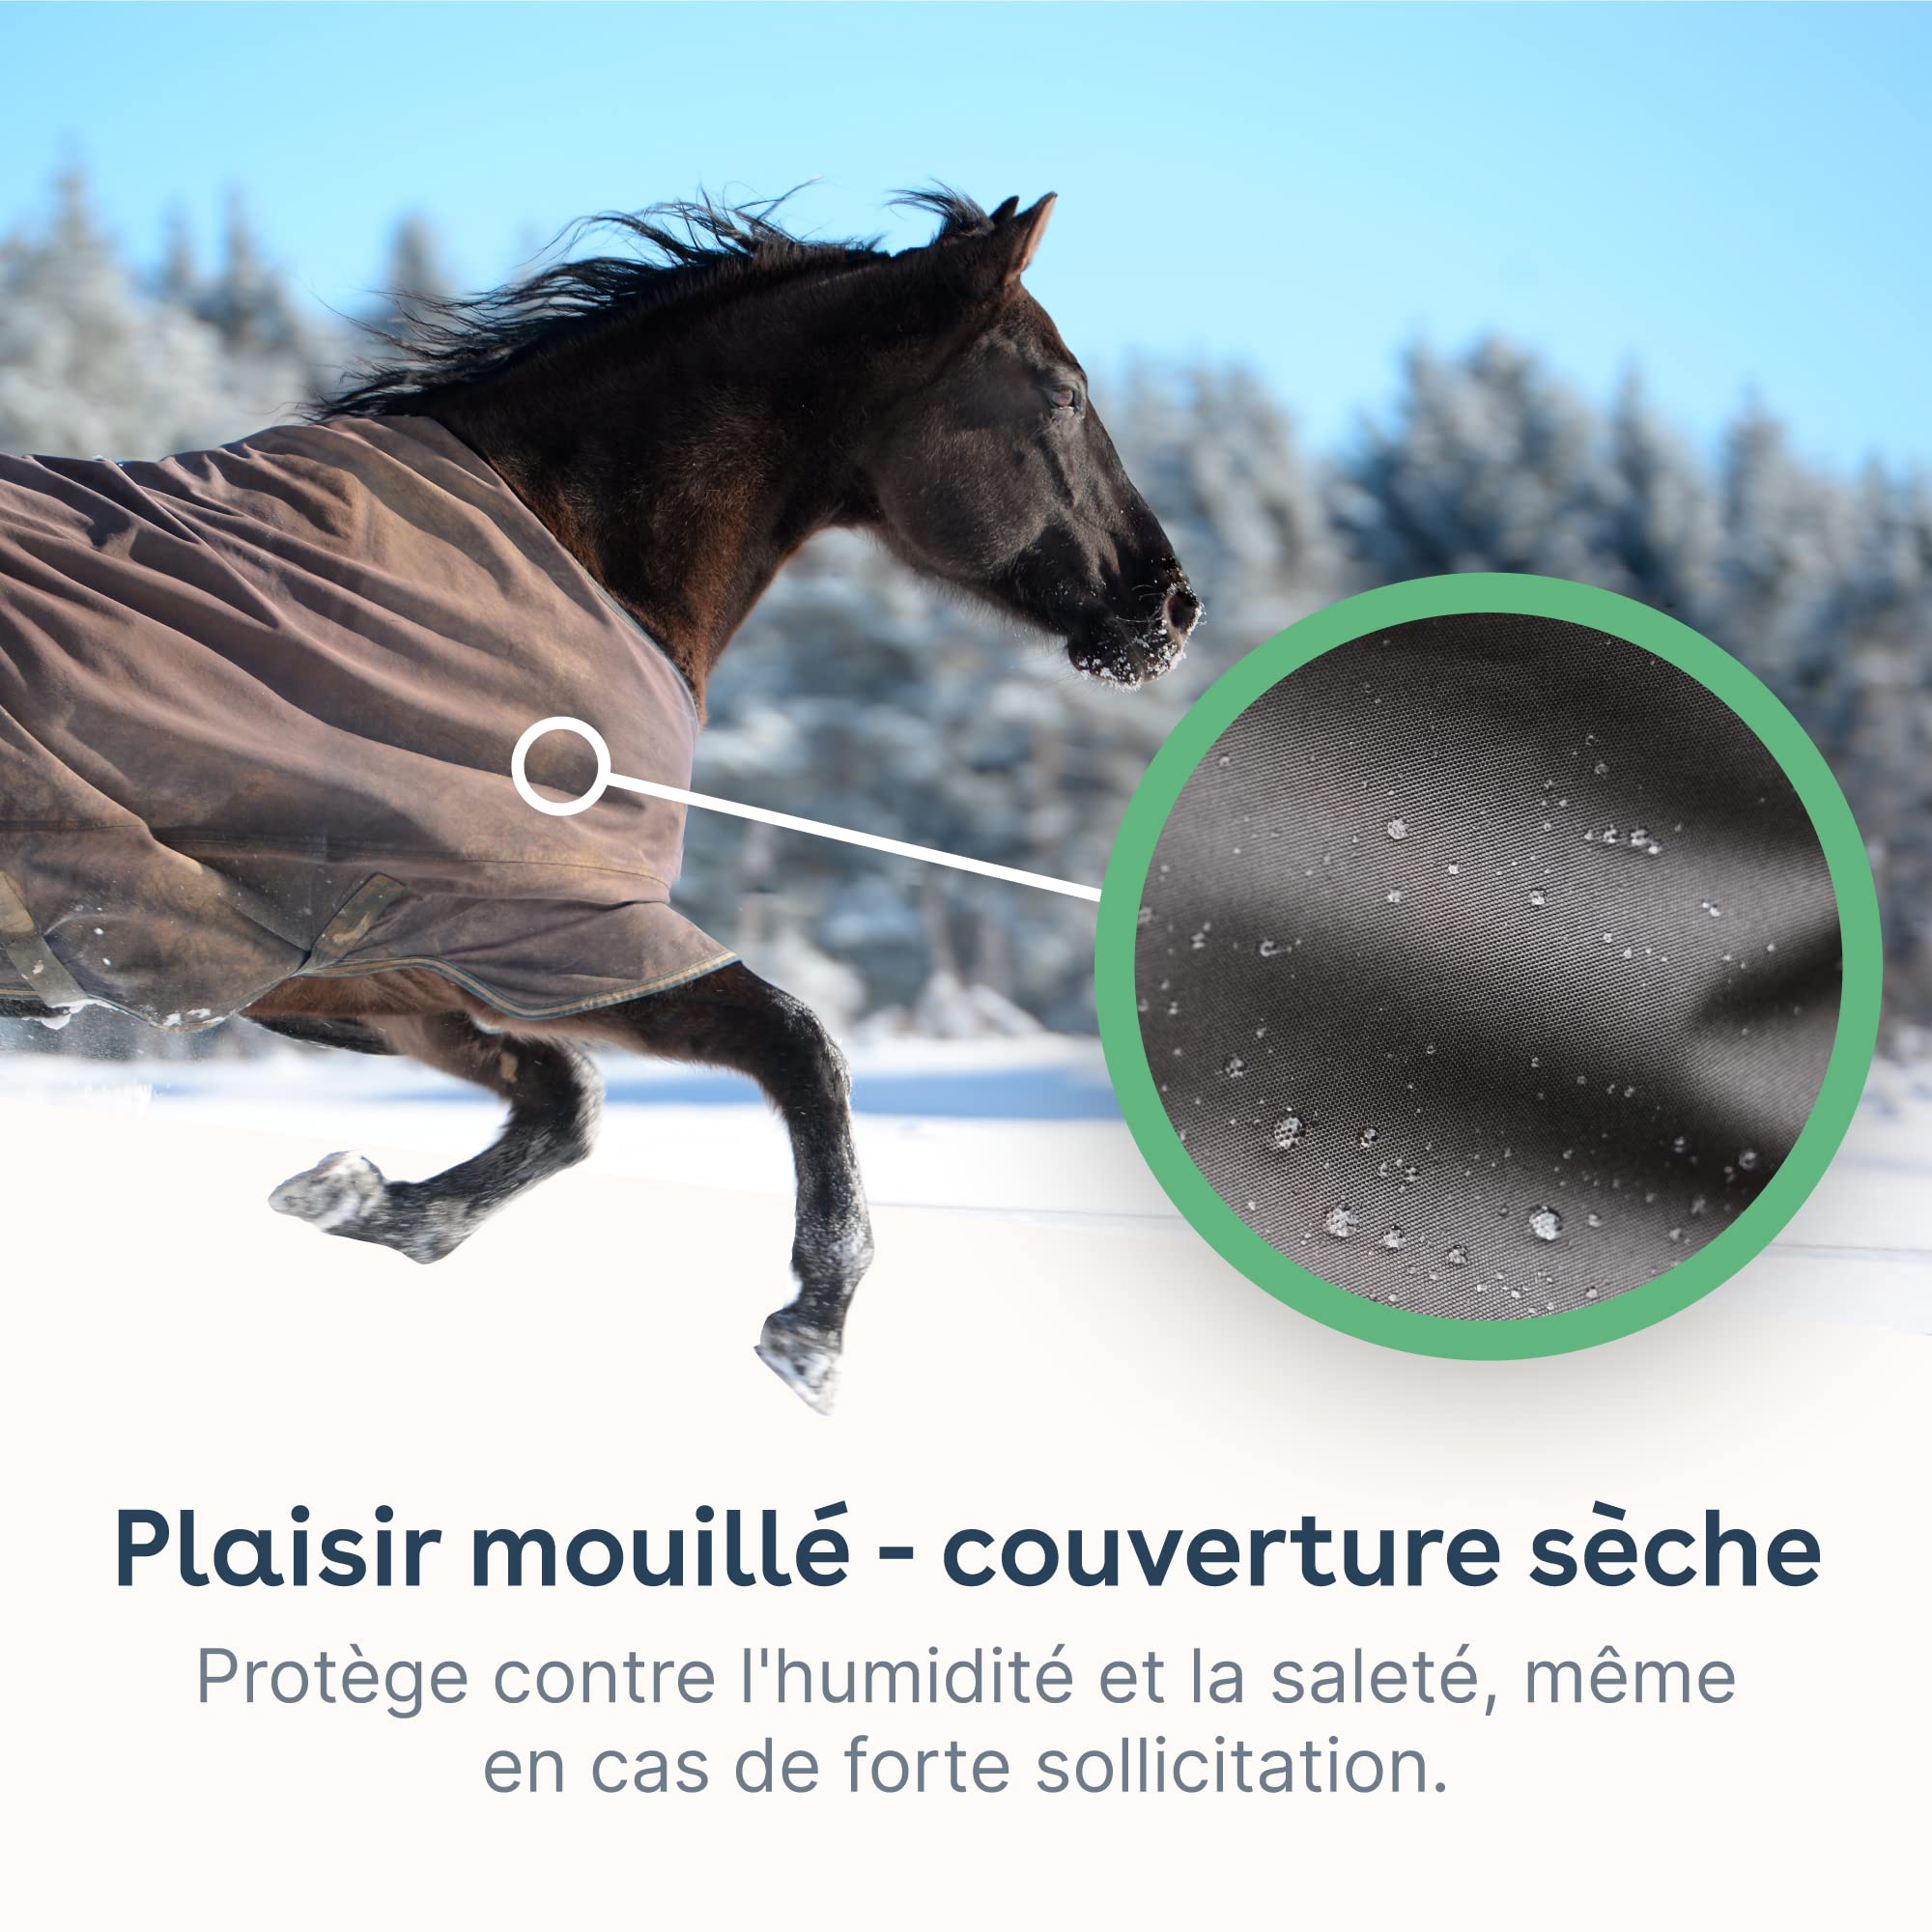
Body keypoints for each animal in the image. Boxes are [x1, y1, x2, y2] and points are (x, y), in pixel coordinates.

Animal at [0, 189, 1199, 1411]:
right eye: (1063, 392)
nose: (1170, 605)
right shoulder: (554, 929)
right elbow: (800, 1047)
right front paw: (813, 1326)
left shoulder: (359, 958)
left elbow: (563, 1097)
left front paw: (363, 1198)